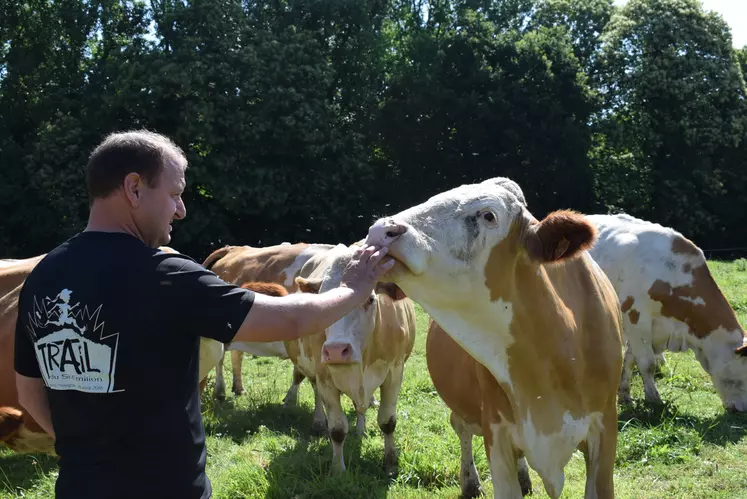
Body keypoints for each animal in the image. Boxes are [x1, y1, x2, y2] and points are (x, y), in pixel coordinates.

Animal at [290, 244, 418, 474]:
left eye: (370, 299)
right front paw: (337, 470)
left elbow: (387, 421)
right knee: (316, 393)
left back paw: (361, 428)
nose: (335, 350)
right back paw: (318, 421)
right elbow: (337, 428)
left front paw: (390, 462)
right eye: (322, 301)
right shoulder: (324, 377)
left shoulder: (395, 372)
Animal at [366, 178, 624, 498]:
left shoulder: (605, 428)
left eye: (488, 215)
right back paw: (470, 480)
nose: (382, 230)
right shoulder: (496, 435)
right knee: (460, 426)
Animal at [588, 213, 747, 412]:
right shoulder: (636, 317)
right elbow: (647, 362)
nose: (743, 410)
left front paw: (625, 395)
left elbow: (630, 360)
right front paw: (654, 399)